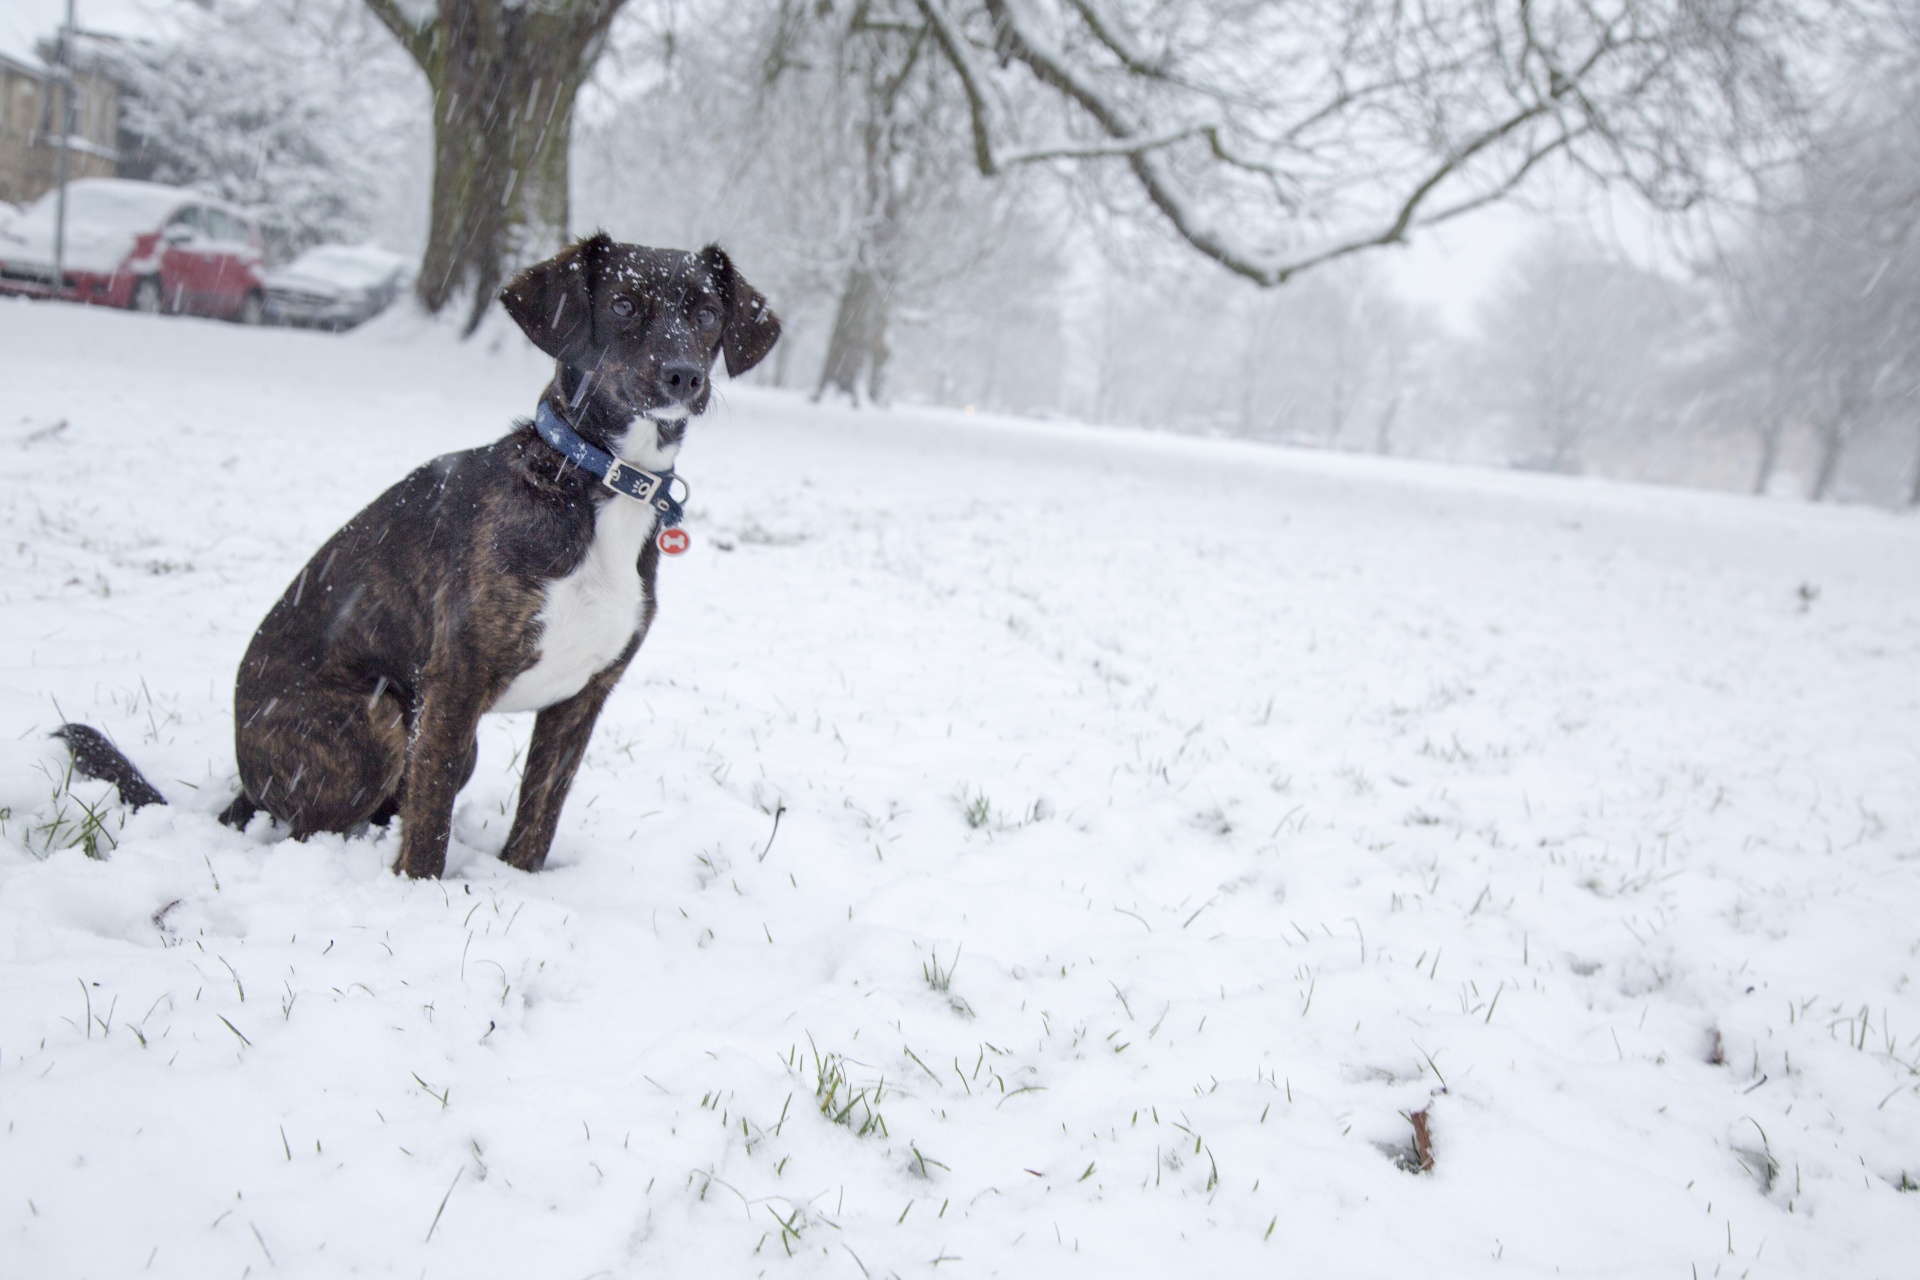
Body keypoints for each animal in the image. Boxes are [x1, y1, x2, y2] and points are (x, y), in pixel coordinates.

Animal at [60, 233, 779, 882]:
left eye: (707, 314)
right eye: (625, 305)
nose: (683, 374)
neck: (595, 481)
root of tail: (245, 778)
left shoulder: (582, 698)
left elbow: (538, 818)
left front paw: (521, 887)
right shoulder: (457, 678)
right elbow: (430, 820)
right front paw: (421, 898)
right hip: (376, 719)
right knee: (307, 821)